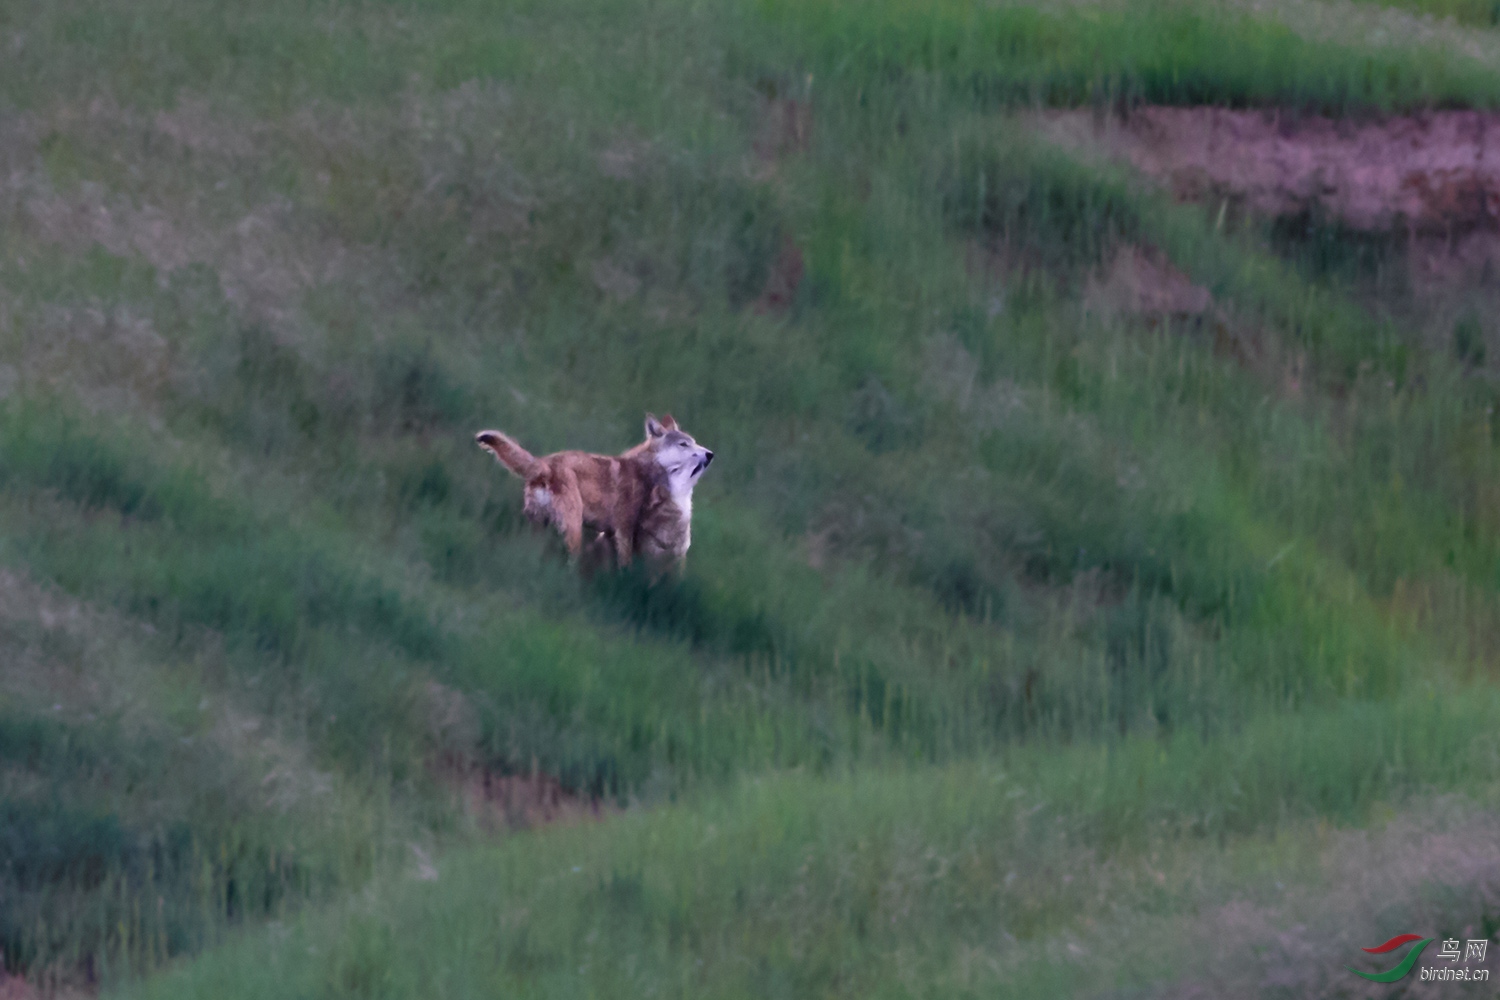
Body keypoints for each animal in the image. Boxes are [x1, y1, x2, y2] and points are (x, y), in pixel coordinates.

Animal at [480, 413, 714, 569]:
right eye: (684, 444)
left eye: (694, 443)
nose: (710, 454)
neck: (644, 470)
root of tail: (545, 465)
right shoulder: (624, 530)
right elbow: (625, 564)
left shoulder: (611, 533)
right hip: (574, 529)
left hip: (539, 526)